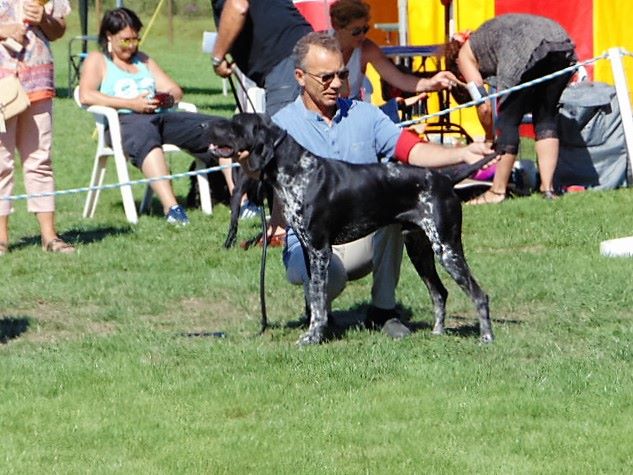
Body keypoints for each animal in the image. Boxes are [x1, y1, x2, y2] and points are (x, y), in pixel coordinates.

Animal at [205, 114, 496, 346]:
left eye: (235, 124)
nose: (205, 124)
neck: (297, 171)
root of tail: (444, 178)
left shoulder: (320, 250)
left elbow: (318, 300)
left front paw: (313, 338)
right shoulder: (311, 252)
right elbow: (316, 297)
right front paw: (318, 332)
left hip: (447, 249)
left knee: (479, 295)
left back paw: (486, 338)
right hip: (421, 250)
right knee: (439, 293)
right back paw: (437, 333)